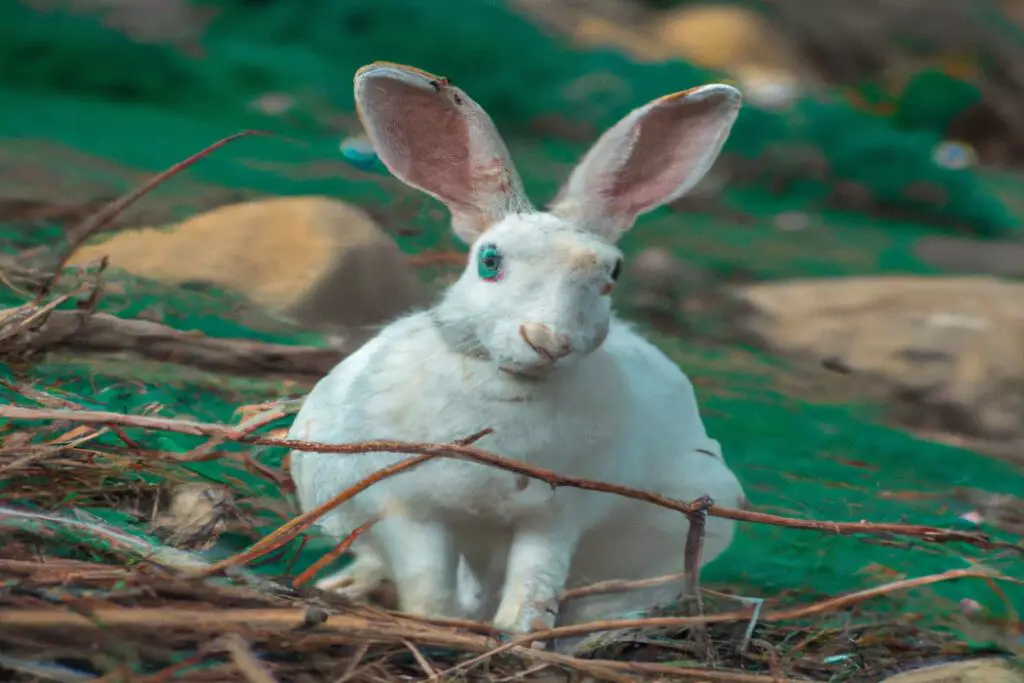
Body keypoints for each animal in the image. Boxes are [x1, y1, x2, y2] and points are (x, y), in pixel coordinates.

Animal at [288, 61, 748, 644]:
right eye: (490, 260)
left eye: (612, 274)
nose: (547, 339)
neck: (510, 386)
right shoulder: (409, 508)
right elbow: (426, 579)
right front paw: (437, 622)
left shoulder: (556, 516)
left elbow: (536, 577)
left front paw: (517, 632)